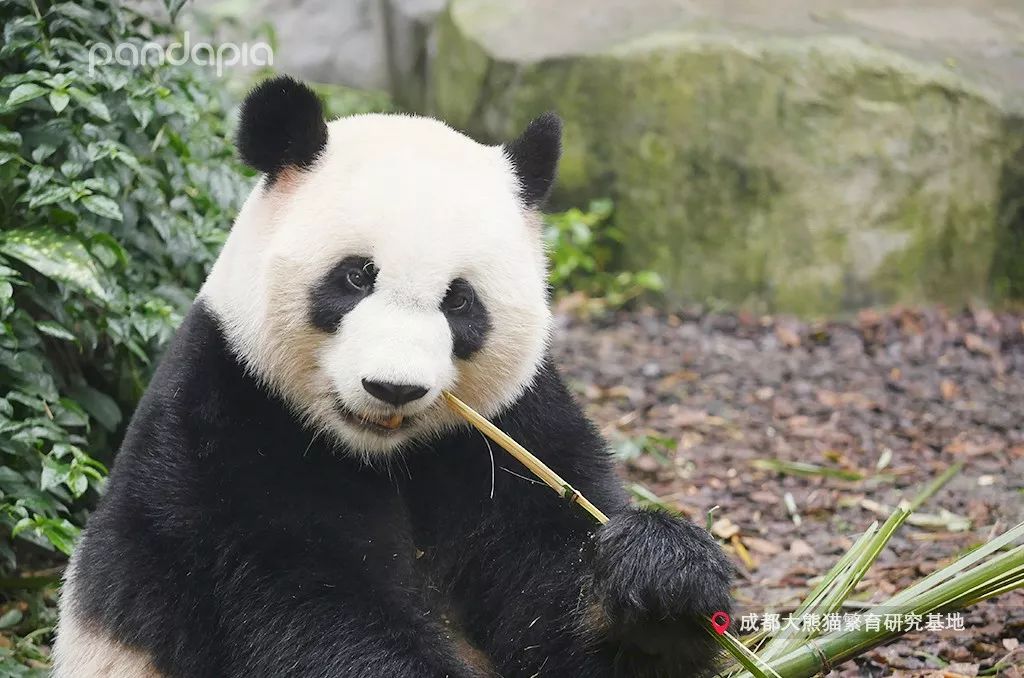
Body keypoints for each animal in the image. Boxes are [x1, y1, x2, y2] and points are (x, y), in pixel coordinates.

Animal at [54, 75, 729, 678]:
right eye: (356, 276)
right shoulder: (224, 429)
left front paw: (662, 577)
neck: (383, 453)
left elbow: (553, 603)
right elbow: (303, 609)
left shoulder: (511, 427)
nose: (393, 388)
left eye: (460, 301)